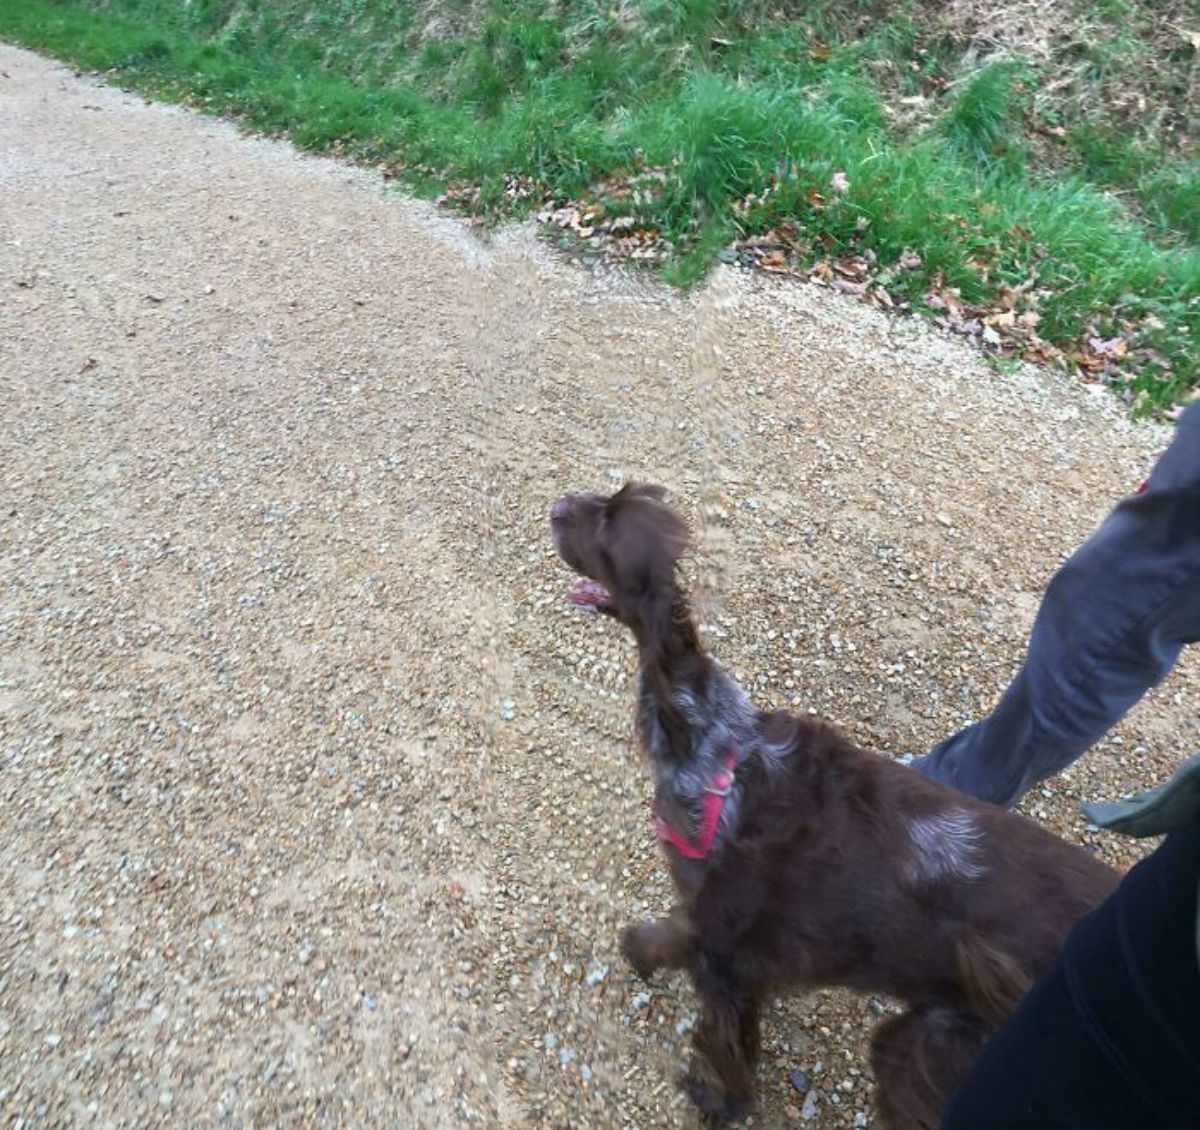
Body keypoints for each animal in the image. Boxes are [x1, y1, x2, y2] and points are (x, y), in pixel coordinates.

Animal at [549, 487, 1113, 1130]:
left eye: (608, 524)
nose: (557, 505)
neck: (716, 749)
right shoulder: (705, 917)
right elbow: (666, 934)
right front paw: (639, 950)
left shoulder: (730, 958)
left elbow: (722, 1044)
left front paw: (717, 1100)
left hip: (930, 1046)